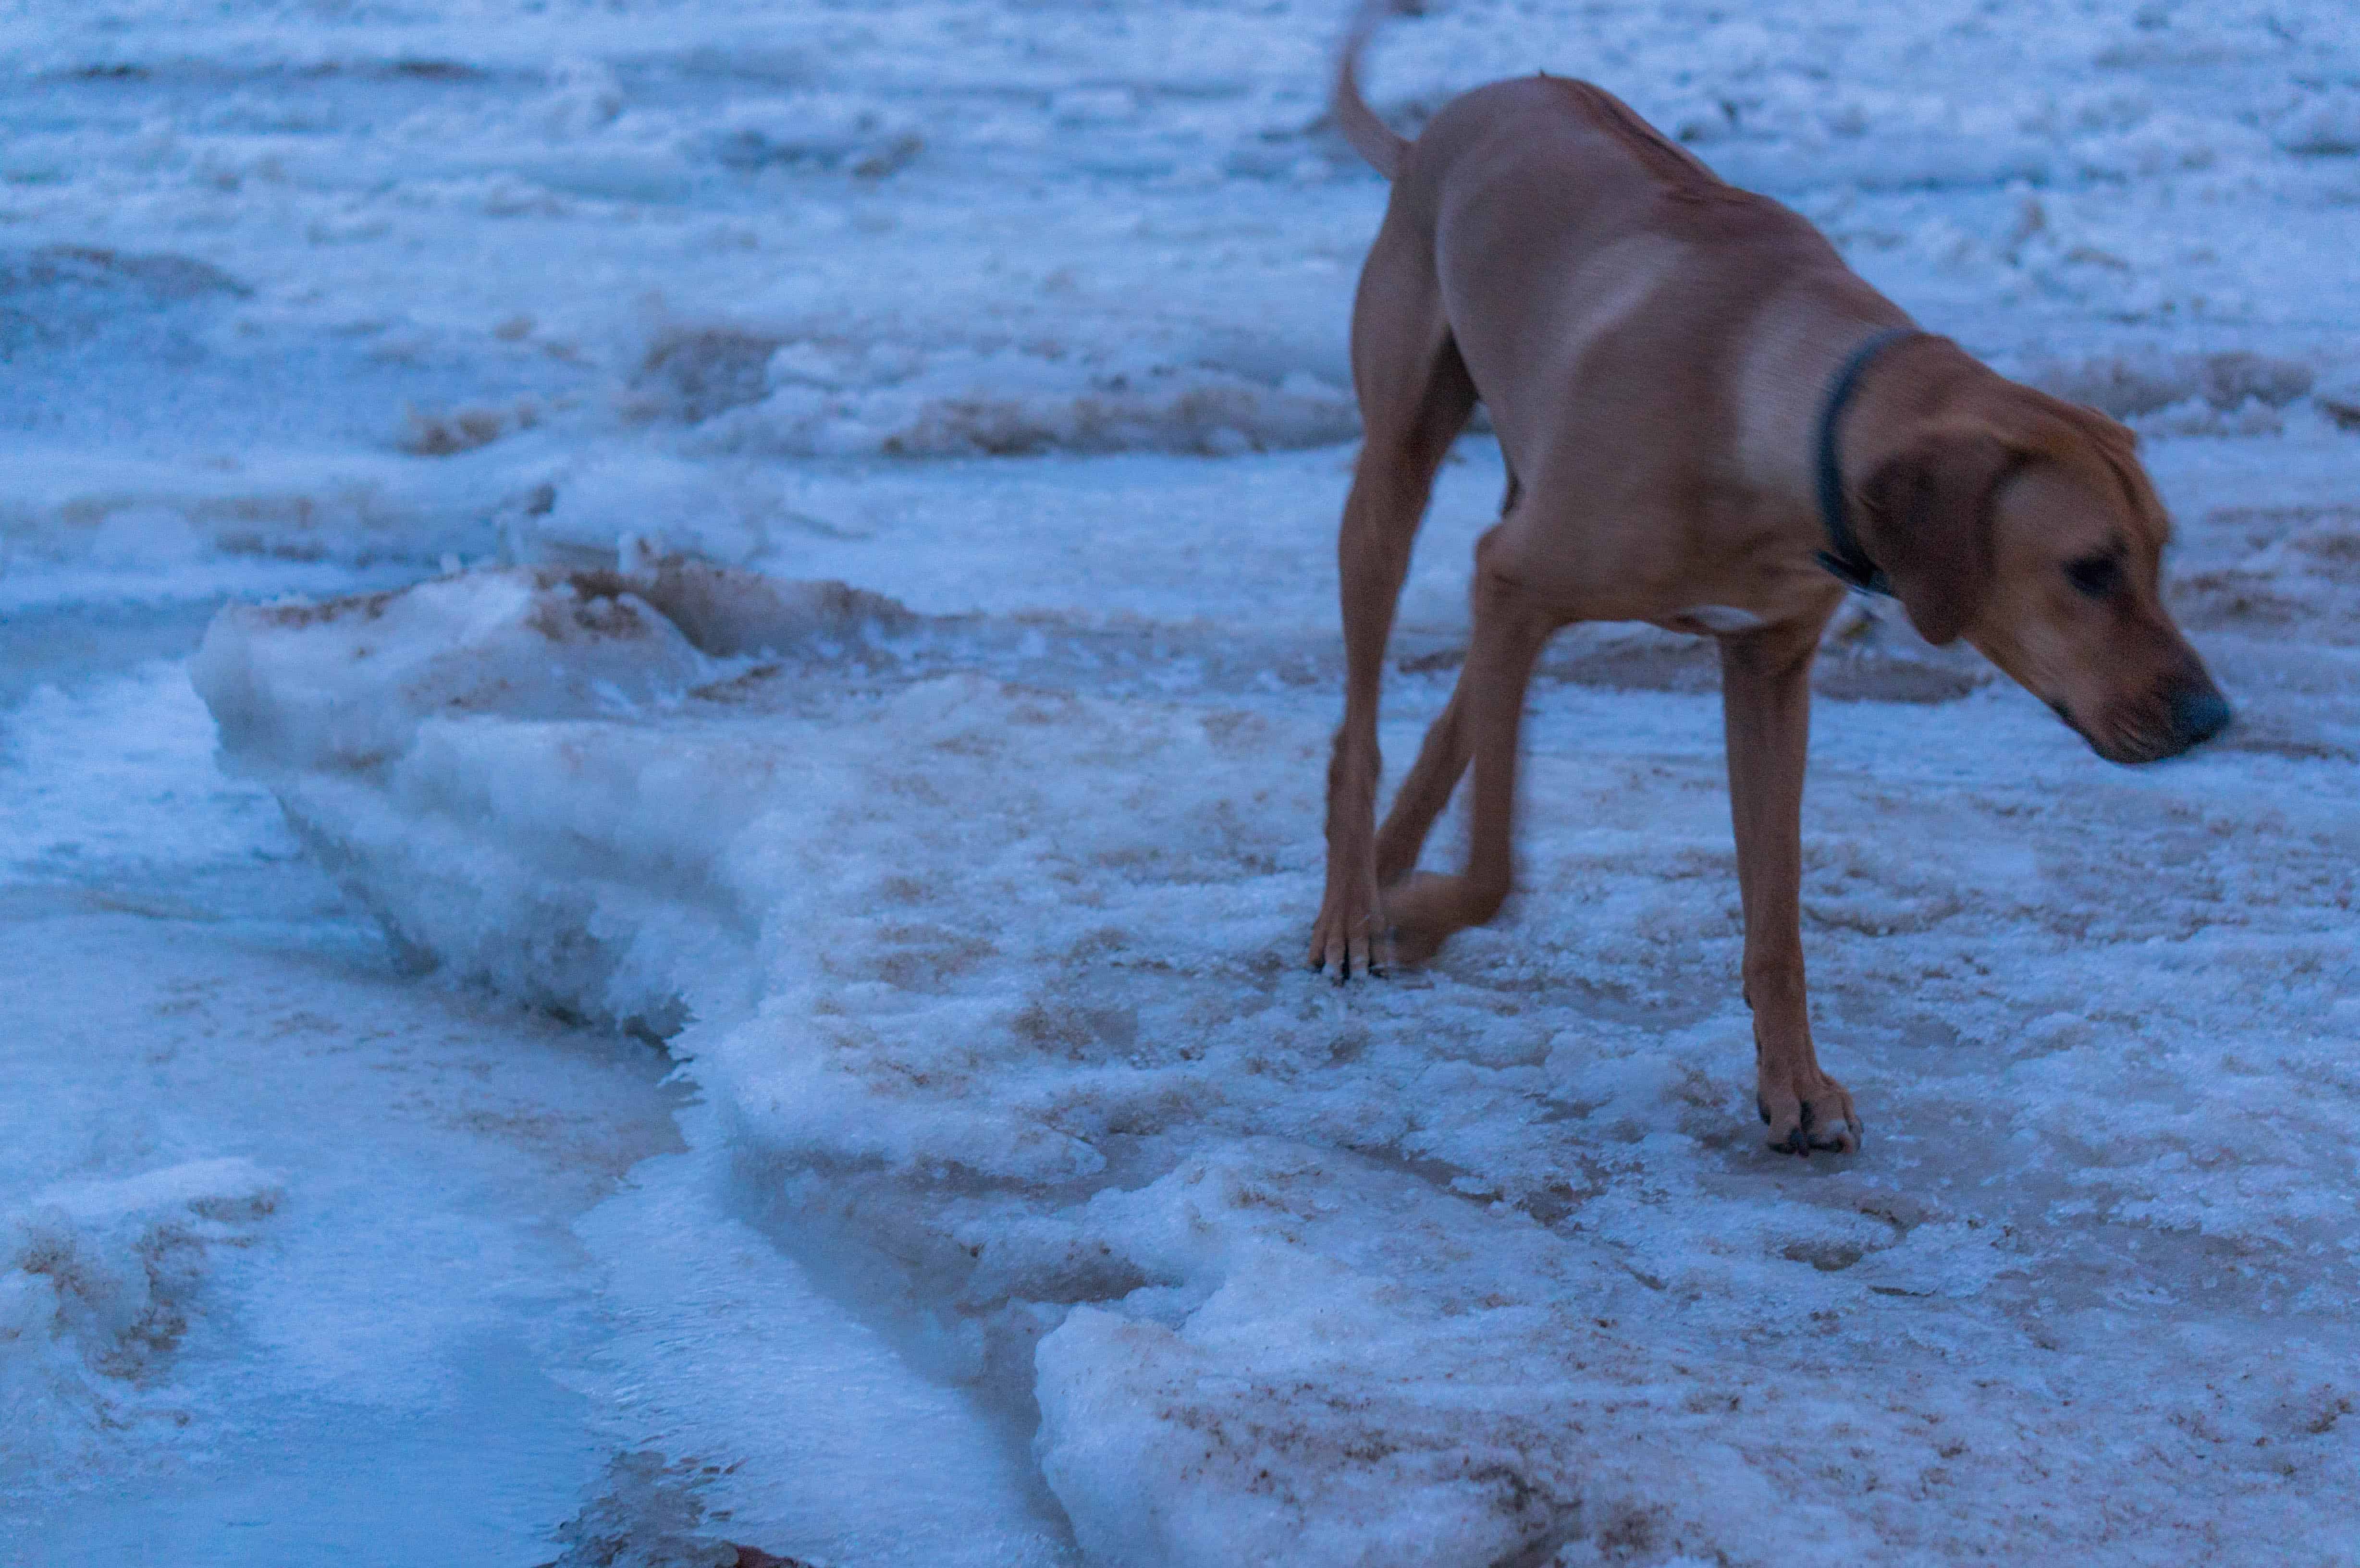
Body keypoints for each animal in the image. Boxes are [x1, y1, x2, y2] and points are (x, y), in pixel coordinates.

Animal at [1312, 3, 2227, 1152]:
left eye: (2158, 553)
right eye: (2089, 569)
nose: (2208, 718)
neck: (1773, 405)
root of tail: (1443, 122)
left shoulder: (1768, 664)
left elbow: (1777, 910)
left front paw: (1794, 1082)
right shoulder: (1519, 581)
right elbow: (1494, 869)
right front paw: (1425, 914)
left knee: (1461, 707)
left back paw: (1389, 863)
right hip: (1397, 469)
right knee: (1361, 721)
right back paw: (1355, 907)